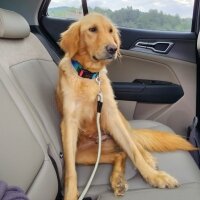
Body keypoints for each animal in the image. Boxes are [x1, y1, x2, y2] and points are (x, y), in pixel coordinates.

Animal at [55, 12, 195, 200]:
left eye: (110, 31)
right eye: (92, 29)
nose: (113, 48)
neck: (89, 76)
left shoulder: (112, 117)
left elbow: (134, 153)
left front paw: (154, 177)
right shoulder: (69, 123)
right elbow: (70, 170)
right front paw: (70, 194)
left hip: (119, 125)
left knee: (134, 145)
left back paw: (146, 160)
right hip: (84, 154)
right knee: (119, 154)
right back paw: (117, 180)